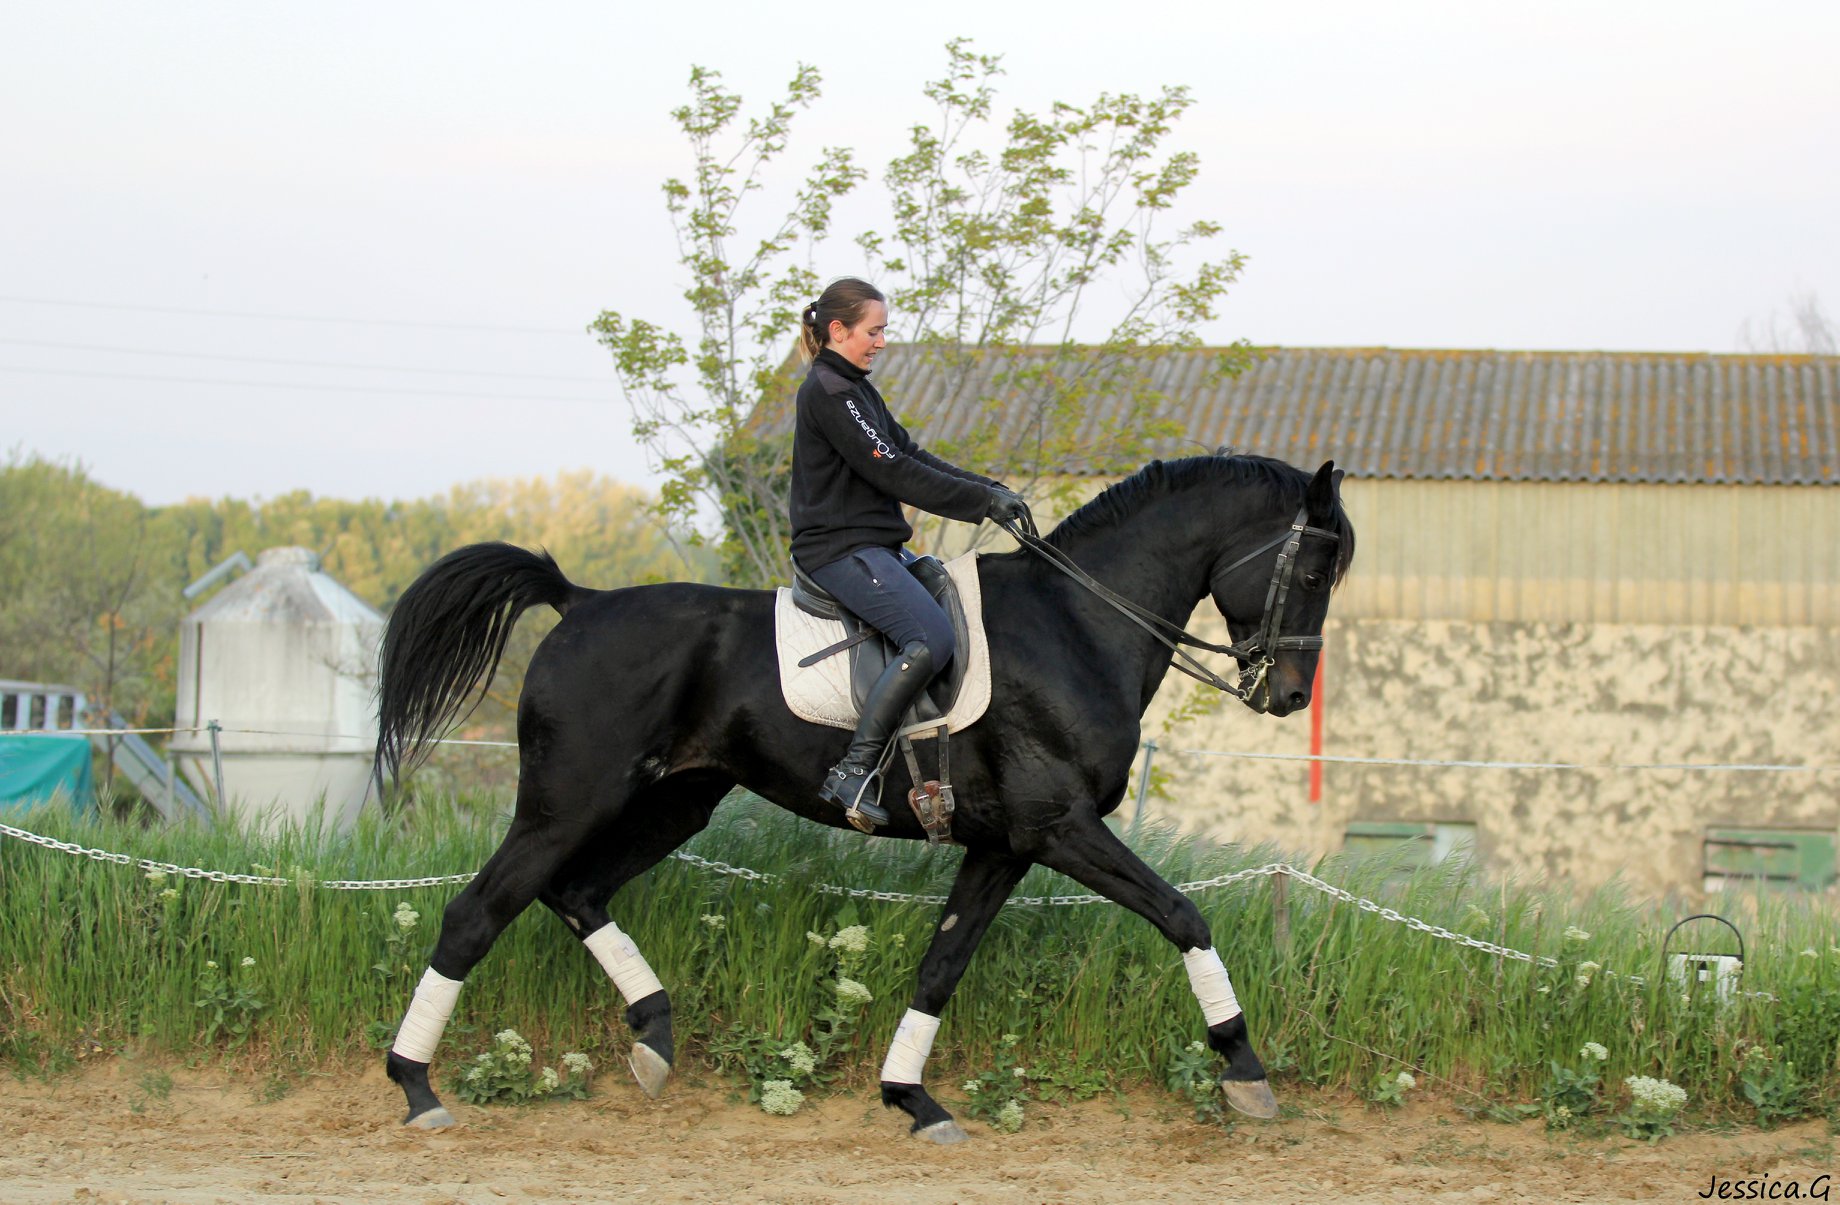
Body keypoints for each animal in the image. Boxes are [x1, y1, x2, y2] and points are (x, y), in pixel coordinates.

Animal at [377, 452, 1354, 1140]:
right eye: (1314, 573)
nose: (1286, 695)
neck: (1077, 623)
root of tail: (580, 602)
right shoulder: (1060, 829)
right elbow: (1185, 915)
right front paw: (1245, 1069)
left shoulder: (1003, 845)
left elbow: (941, 963)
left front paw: (910, 1096)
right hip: (567, 804)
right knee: (476, 913)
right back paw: (417, 1086)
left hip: (675, 802)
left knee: (575, 891)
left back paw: (652, 1040)